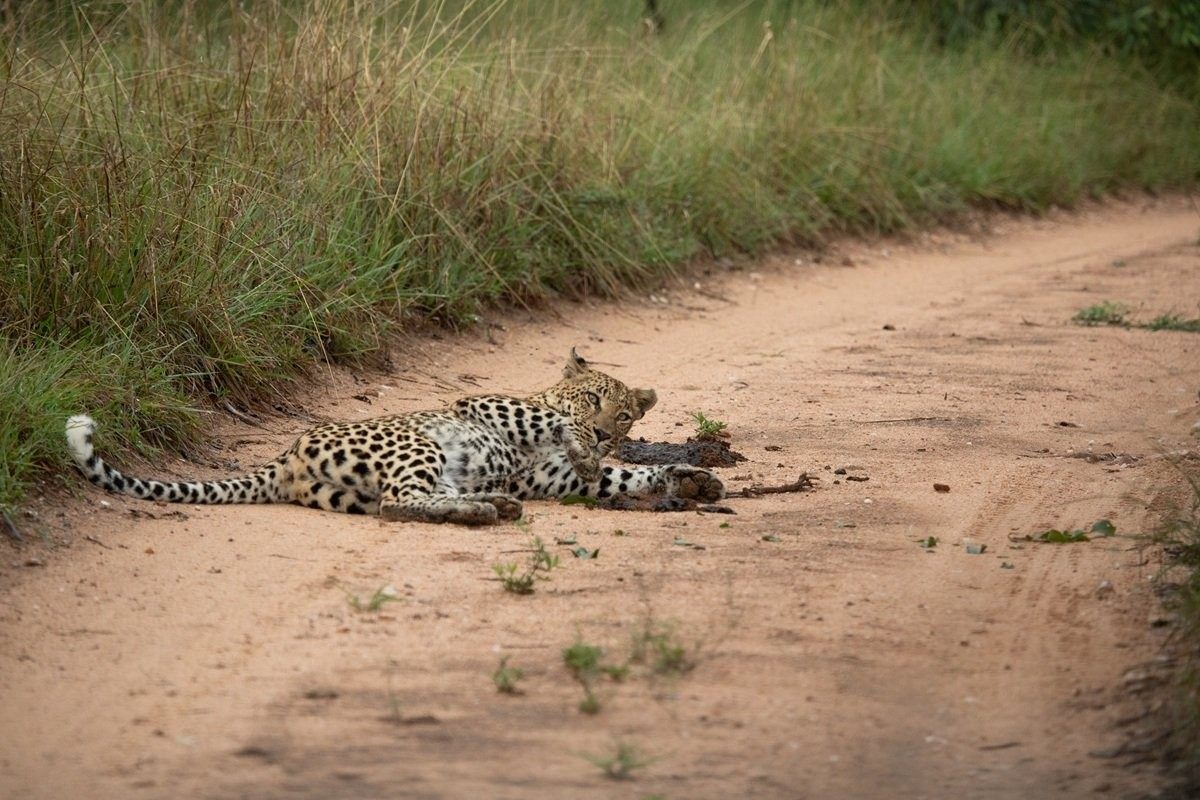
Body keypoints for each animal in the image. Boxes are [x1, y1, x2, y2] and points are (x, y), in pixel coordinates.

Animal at [65, 349, 725, 525]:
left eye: (626, 417)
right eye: (593, 401)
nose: (605, 431)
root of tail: (284, 457)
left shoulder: (551, 478)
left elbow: (624, 476)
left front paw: (691, 480)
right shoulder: (492, 406)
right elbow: (554, 426)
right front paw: (584, 446)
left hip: (358, 489)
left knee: (401, 502)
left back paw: (490, 504)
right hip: (419, 445)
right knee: (399, 502)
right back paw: (486, 509)